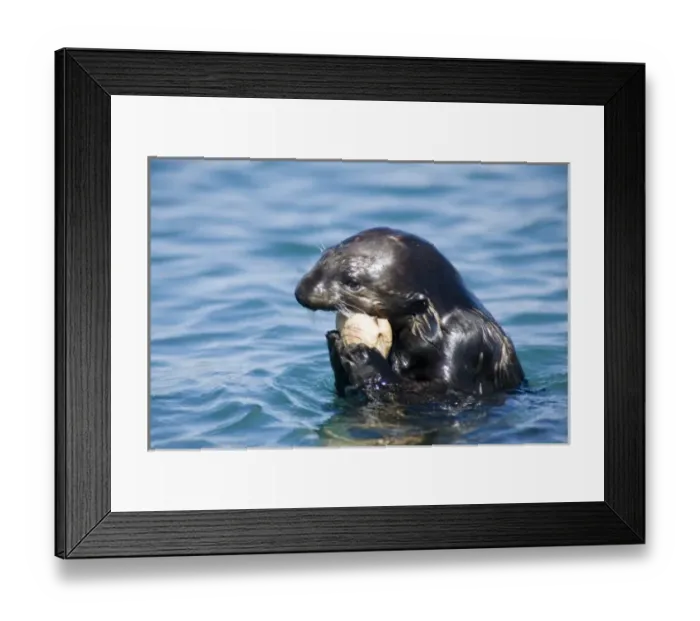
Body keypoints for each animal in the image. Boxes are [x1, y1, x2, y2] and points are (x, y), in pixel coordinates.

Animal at [295, 227, 525, 404]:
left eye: (352, 282)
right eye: (323, 257)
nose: (301, 291)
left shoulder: (465, 339)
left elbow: (442, 390)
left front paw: (364, 357)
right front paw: (334, 343)